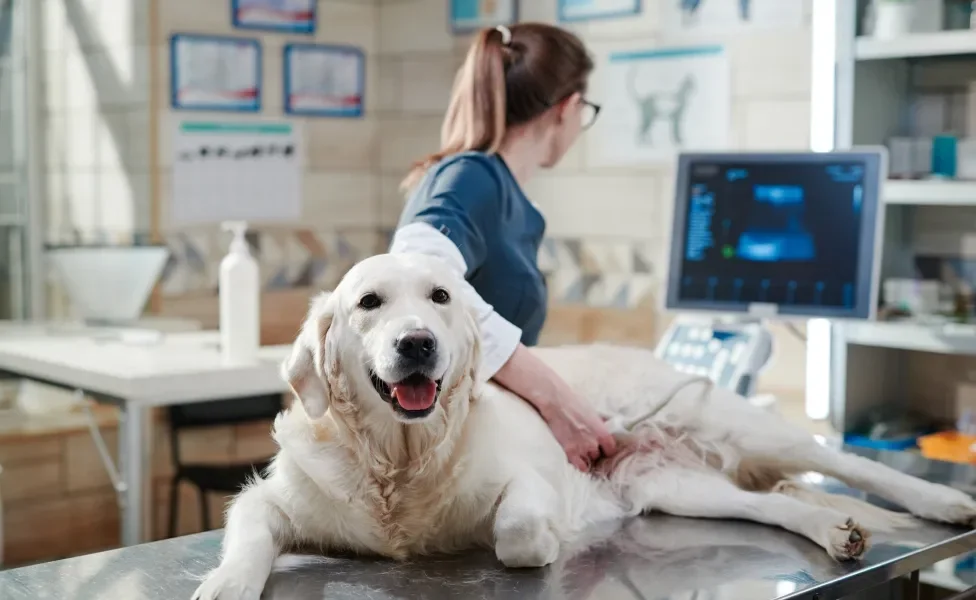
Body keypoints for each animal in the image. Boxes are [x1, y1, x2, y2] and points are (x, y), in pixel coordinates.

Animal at [194, 253, 976, 600]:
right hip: (678, 487)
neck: (400, 461)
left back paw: (944, 501)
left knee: (843, 463)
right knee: (775, 504)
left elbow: (515, 529)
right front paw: (228, 582)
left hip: (732, 424)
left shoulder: (529, 479)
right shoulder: (269, 499)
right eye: (369, 303)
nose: (417, 344)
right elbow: (250, 534)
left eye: (441, 297)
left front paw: (539, 543)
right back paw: (834, 531)